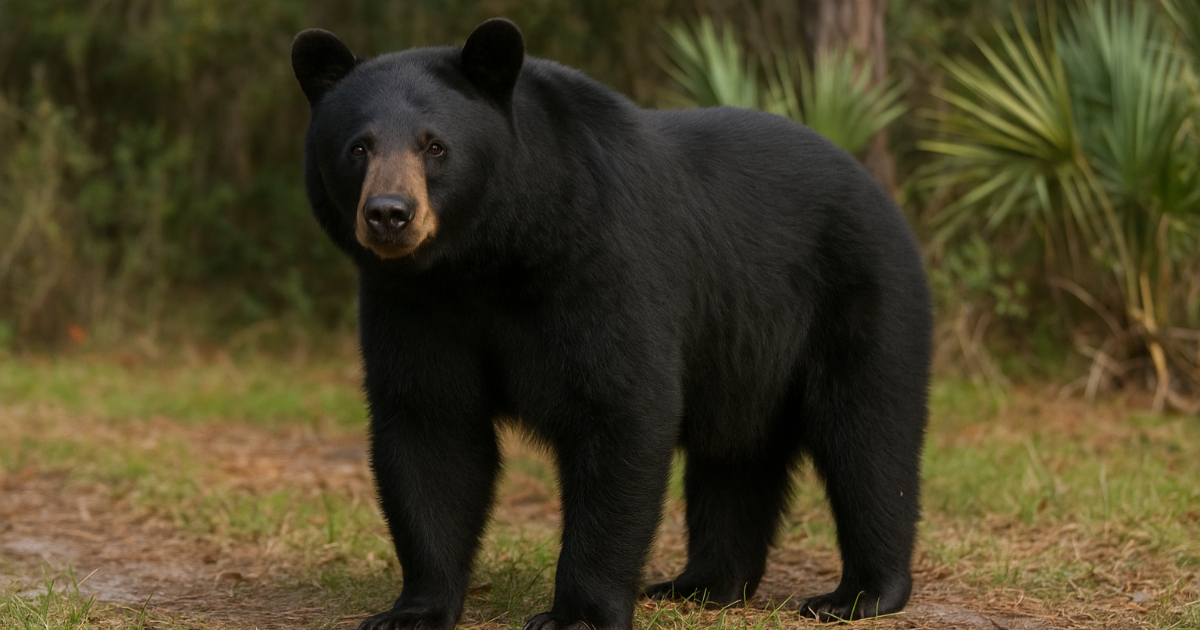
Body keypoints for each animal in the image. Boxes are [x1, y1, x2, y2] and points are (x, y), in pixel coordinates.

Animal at [291, 18, 931, 630]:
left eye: (435, 147)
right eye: (357, 148)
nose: (389, 214)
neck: (485, 259)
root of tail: (879, 191)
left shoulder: (602, 262)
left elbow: (619, 408)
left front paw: (575, 614)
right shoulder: (412, 304)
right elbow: (429, 429)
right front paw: (412, 611)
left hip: (857, 296)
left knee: (869, 438)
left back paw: (858, 594)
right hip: (744, 347)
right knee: (736, 453)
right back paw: (703, 584)